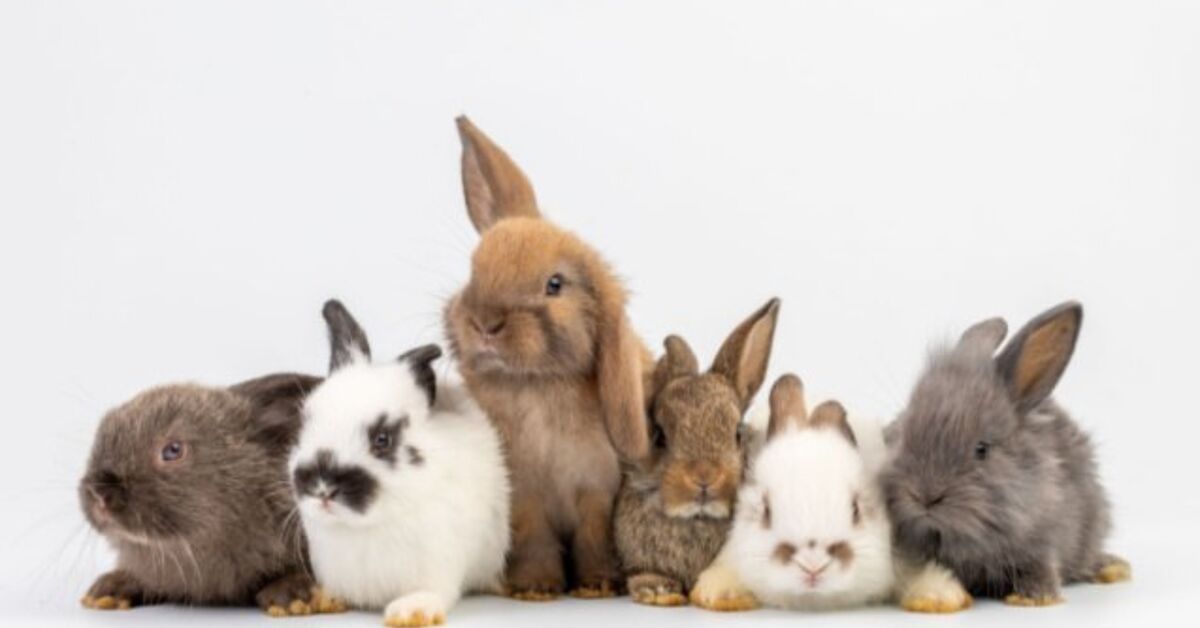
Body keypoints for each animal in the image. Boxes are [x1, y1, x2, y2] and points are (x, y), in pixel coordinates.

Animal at [291, 300, 510, 627]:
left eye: (382, 439)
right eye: (306, 421)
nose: (323, 488)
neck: (367, 525)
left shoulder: (439, 560)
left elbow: (432, 591)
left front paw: (411, 612)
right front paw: (320, 599)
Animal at [442, 116, 653, 600]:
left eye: (555, 285)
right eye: (473, 270)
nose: (485, 323)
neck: (535, 383)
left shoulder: (597, 488)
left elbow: (595, 533)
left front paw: (598, 584)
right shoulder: (524, 495)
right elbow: (533, 535)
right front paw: (534, 587)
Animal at [882, 301, 1131, 613]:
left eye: (982, 449)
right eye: (903, 432)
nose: (924, 497)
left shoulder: (1043, 539)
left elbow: (1039, 567)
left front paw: (1033, 598)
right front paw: (932, 599)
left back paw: (1112, 567)